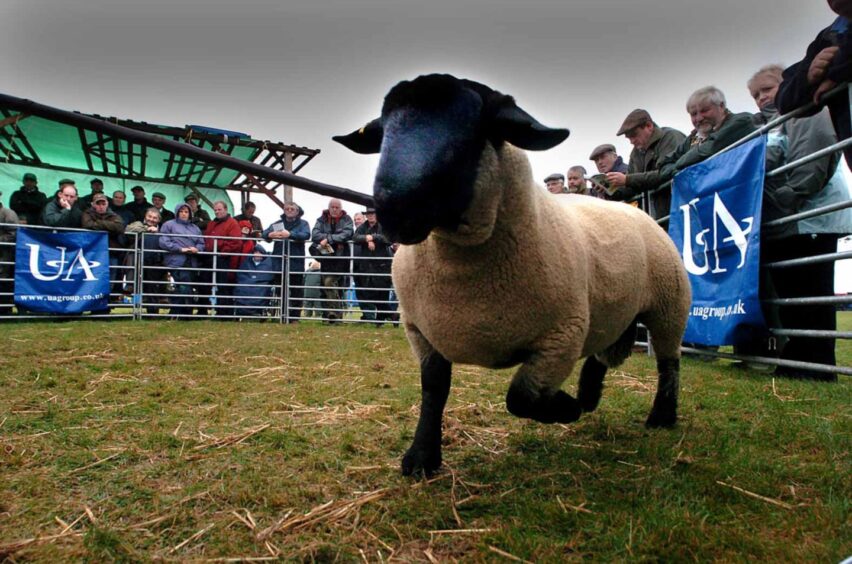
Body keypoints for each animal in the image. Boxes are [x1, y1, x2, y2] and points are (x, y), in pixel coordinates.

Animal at [332, 71, 692, 476]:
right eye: (385, 133)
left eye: (473, 128)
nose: (395, 210)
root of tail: (632, 209)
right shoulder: (421, 332)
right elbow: (434, 390)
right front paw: (422, 457)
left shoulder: (561, 337)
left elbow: (520, 398)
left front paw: (565, 408)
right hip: (616, 313)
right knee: (608, 353)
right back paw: (589, 394)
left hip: (669, 304)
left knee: (669, 362)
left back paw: (660, 415)